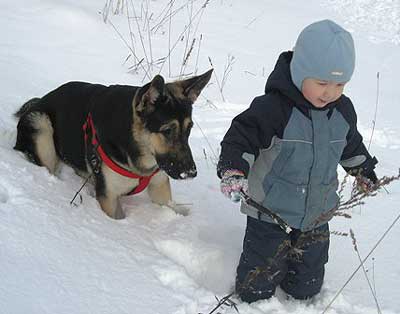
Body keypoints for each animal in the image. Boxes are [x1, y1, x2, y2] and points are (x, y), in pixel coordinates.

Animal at [13, 70, 212, 220]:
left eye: (189, 128)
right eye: (167, 131)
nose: (191, 173)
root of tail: (37, 101)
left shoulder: (159, 186)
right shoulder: (108, 198)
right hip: (40, 124)